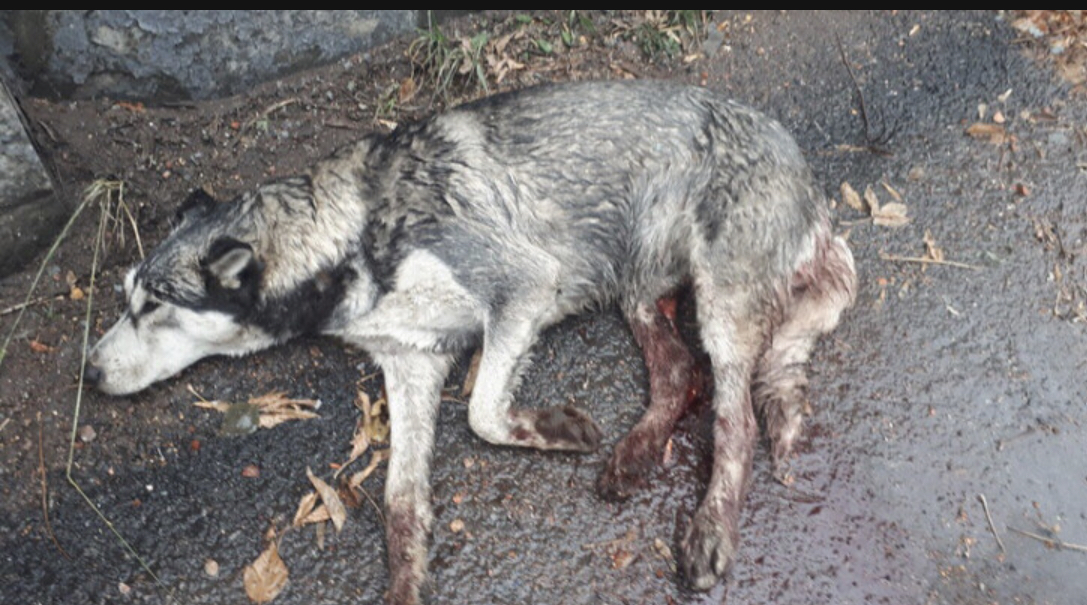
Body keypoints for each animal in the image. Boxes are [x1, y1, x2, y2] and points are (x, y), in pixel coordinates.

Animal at [85, 80, 857, 603]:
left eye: (154, 306)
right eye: (125, 297)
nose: (89, 372)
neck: (350, 239)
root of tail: (813, 191)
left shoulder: (522, 289)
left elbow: (484, 411)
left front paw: (551, 428)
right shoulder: (412, 363)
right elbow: (400, 500)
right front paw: (407, 581)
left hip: (719, 301)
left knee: (735, 418)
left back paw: (709, 530)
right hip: (637, 283)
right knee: (676, 375)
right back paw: (634, 455)